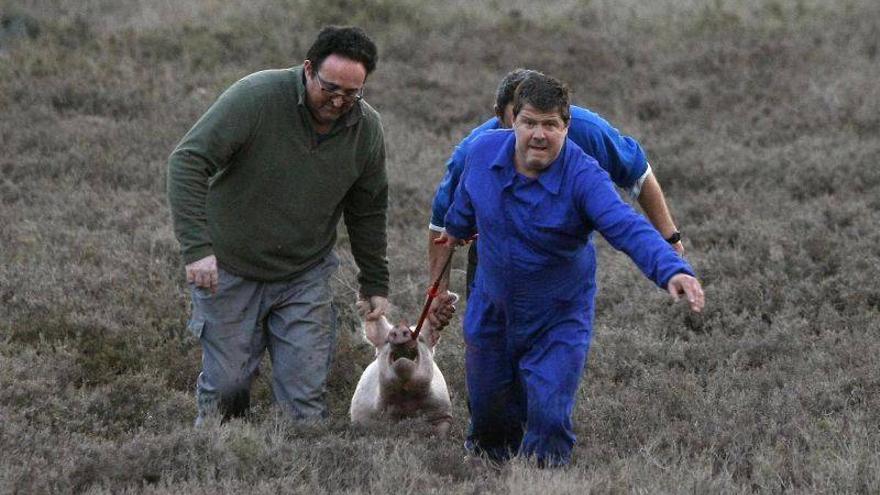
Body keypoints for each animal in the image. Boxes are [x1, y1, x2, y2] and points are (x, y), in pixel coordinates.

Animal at [348, 294, 458, 438]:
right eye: (386, 341)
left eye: (421, 339)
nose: (399, 327)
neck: (405, 398)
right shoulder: (361, 416)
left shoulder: (443, 411)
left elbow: (441, 431)